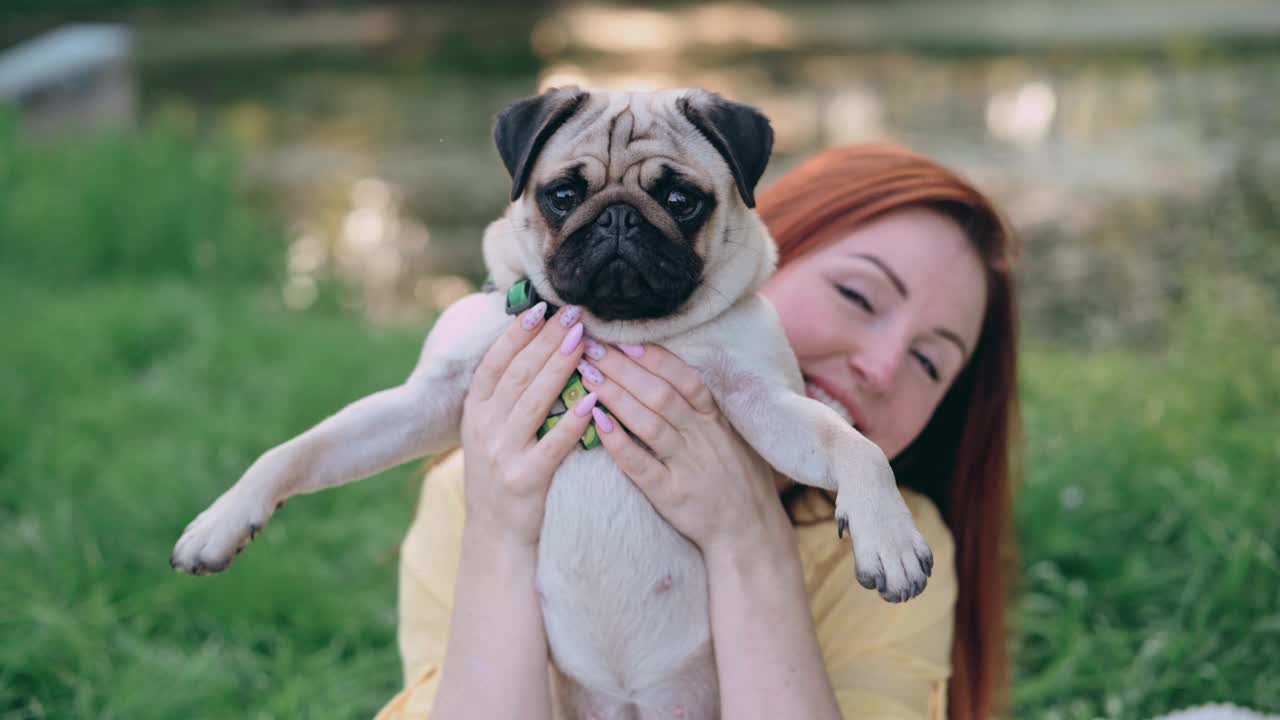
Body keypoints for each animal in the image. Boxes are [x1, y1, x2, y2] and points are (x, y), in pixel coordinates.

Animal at [172, 88, 931, 717]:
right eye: (563, 195)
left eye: (681, 201)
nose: (619, 220)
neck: (611, 329)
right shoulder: (430, 399)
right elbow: (302, 447)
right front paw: (222, 520)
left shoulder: (761, 398)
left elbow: (852, 445)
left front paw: (888, 537)